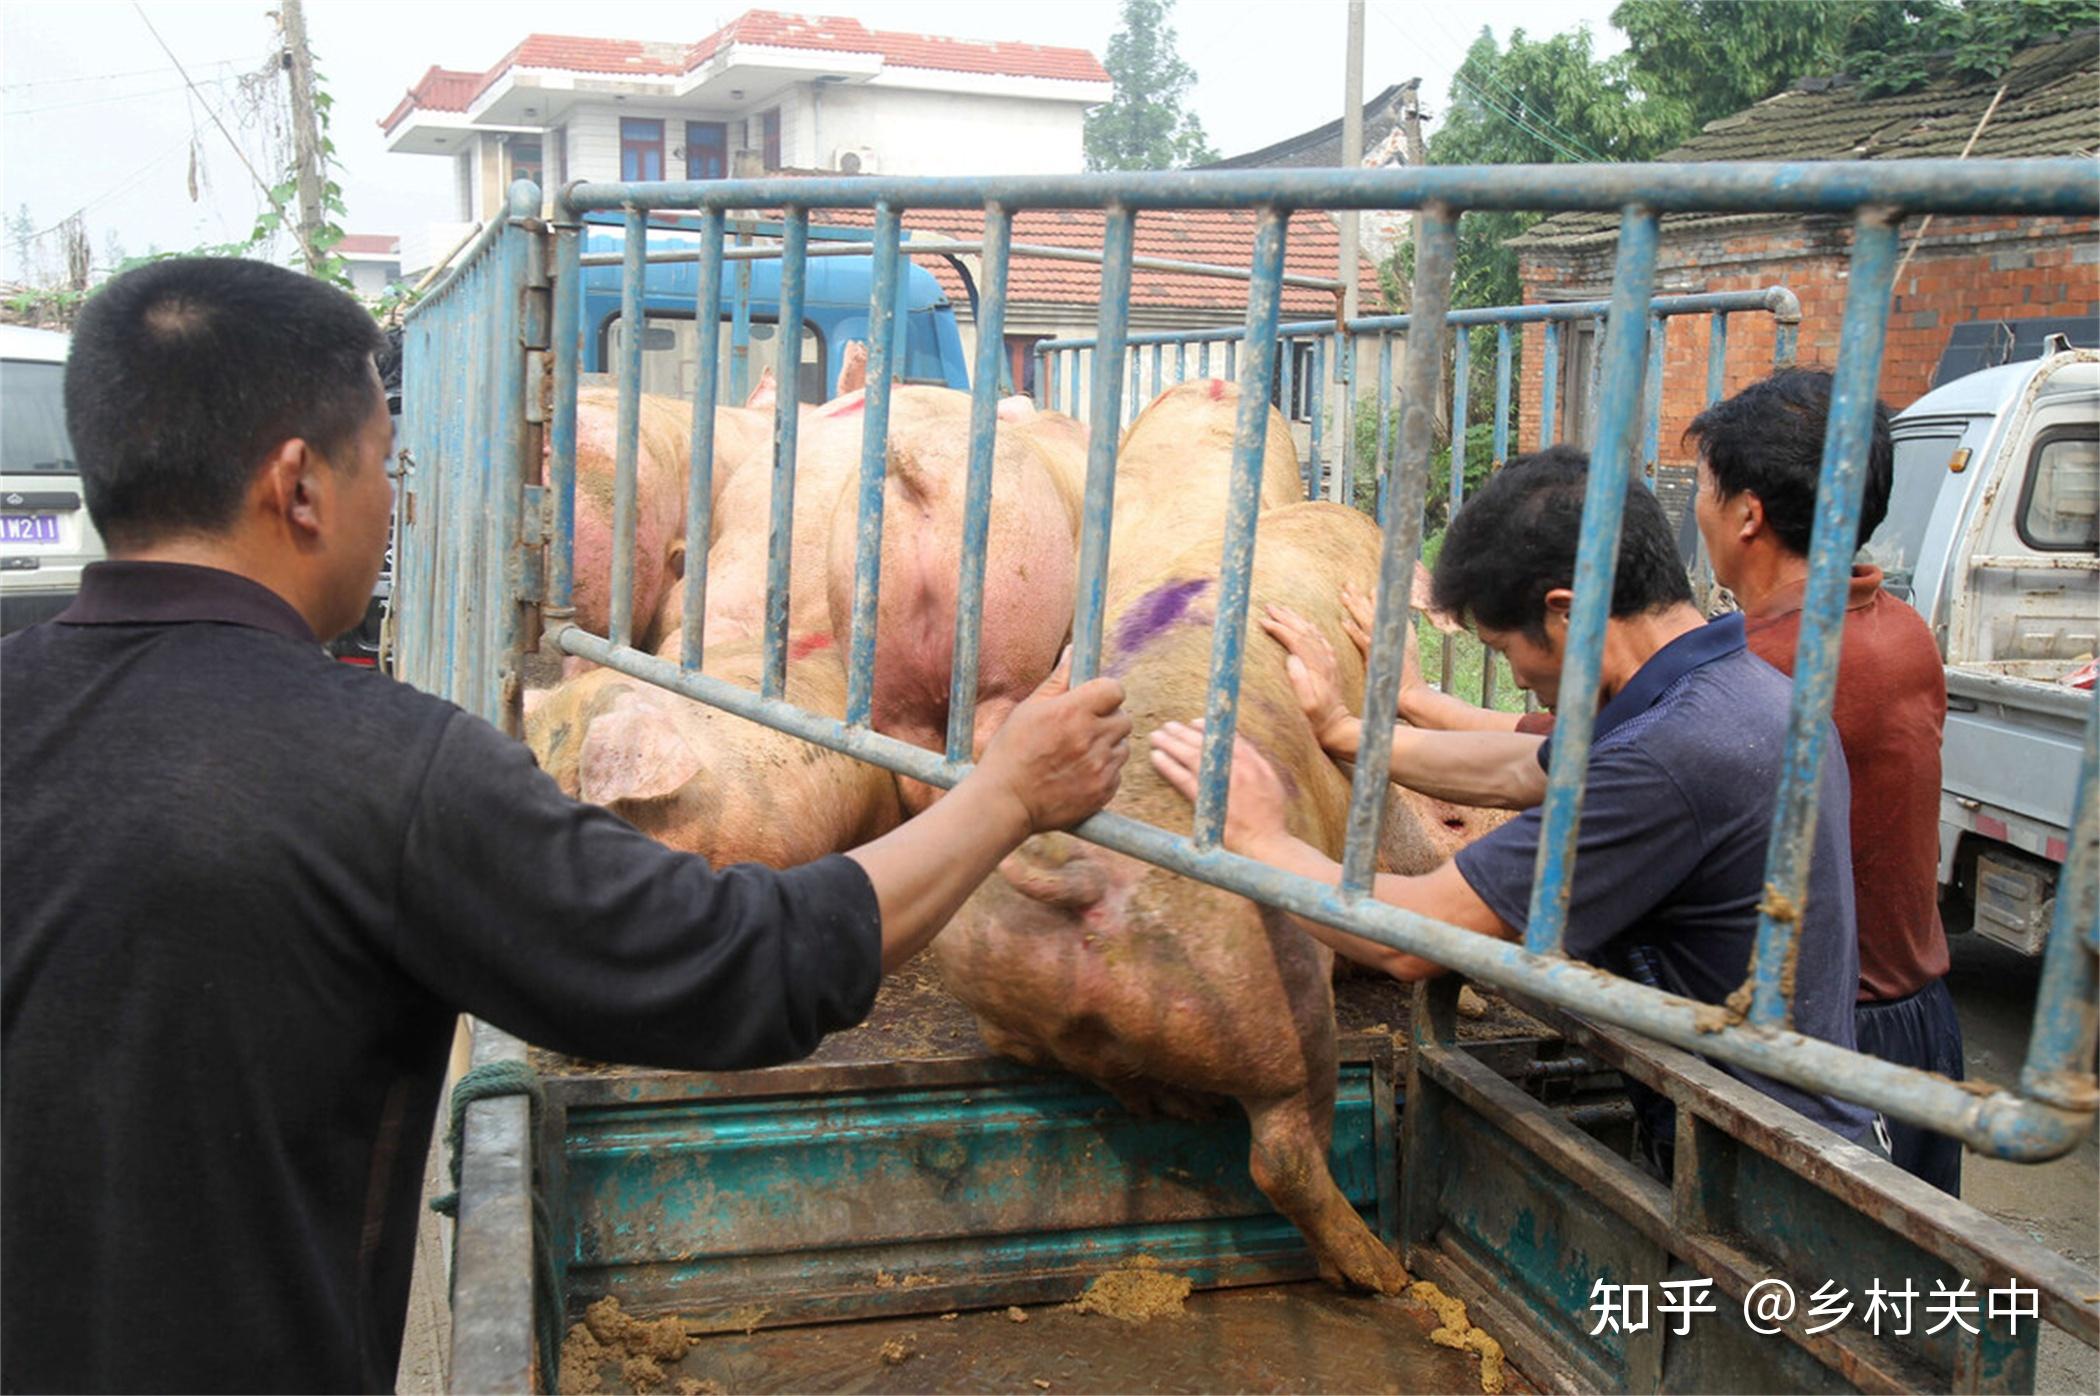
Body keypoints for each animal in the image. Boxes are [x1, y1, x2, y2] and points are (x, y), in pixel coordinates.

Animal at [928, 495, 1486, 1293]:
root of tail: (1081, 872)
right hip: (1272, 1008)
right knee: (1283, 1156)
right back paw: (1376, 1273)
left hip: (1000, 988)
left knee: (1106, 1075)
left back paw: (1175, 1102)